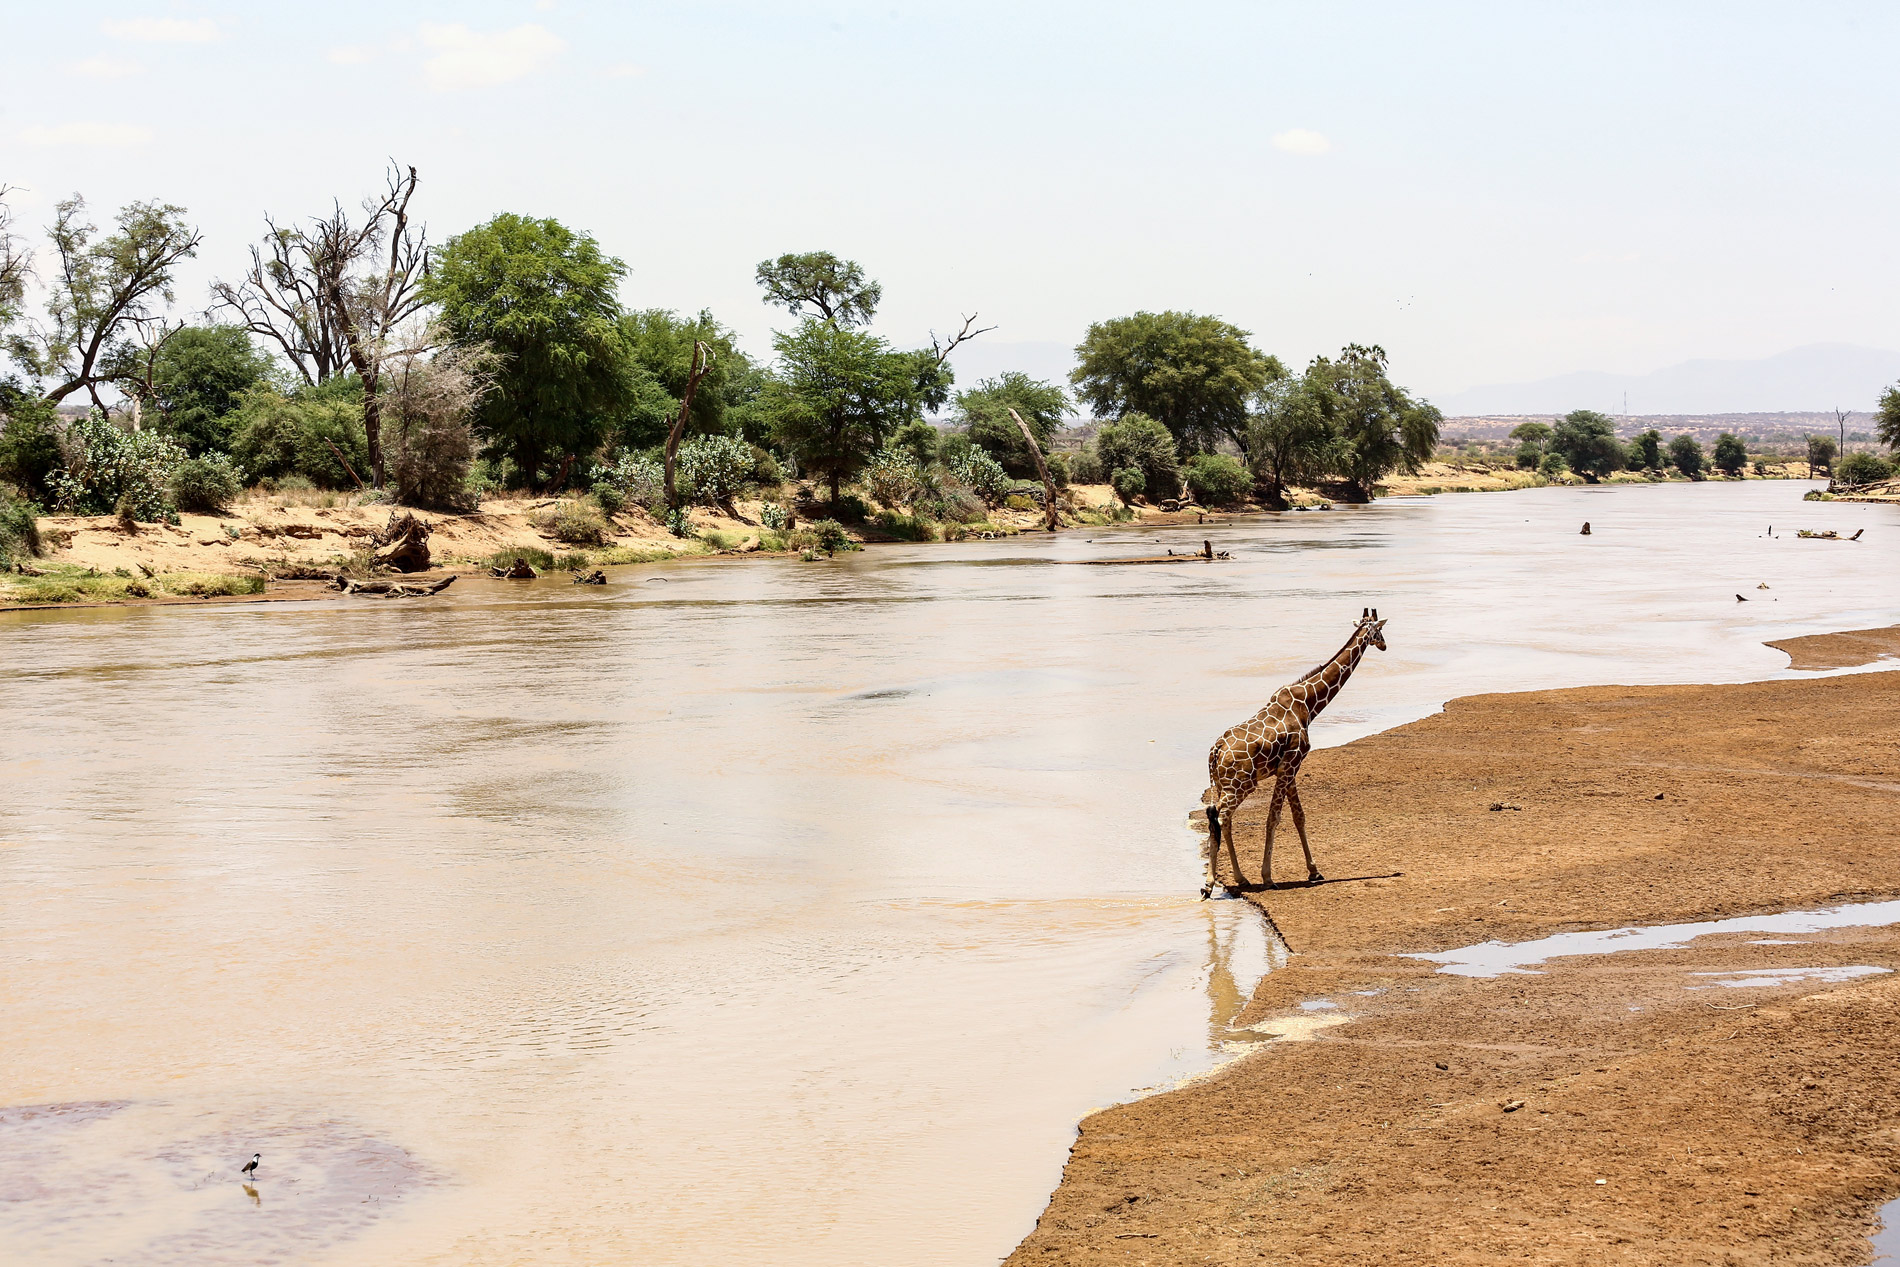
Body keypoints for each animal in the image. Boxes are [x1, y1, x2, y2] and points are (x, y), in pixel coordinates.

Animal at [1200, 608, 1388, 898]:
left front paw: (1314, 871)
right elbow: (1274, 818)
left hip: (1221, 785)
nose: (1384, 645)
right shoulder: (1290, 765)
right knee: (1218, 816)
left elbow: (1299, 816)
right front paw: (1268, 877)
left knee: (1223, 820)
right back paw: (1209, 884)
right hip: (1240, 786)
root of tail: (1215, 752)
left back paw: (1240, 878)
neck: (1309, 705)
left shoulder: (1290, 768)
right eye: (1379, 631)